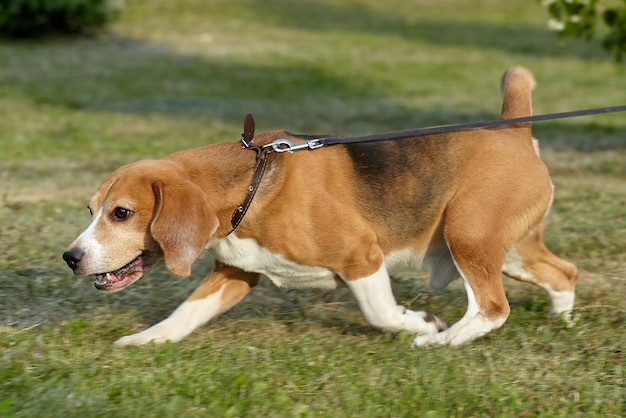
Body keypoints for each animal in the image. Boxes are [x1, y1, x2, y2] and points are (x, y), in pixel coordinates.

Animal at [63, 66, 576, 346]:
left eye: (121, 213)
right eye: (90, 210)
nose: (70, 258)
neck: (251, 186)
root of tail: (512, 131)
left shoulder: (361, 256)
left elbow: (381, 312)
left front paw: (422, 324)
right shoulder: (236, 272)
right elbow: (185, 313)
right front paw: (147, 339)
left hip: (467, 233)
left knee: (493, 307)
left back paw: (442, 341)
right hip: (505, 249)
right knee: (562, 273)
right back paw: (563, 320)